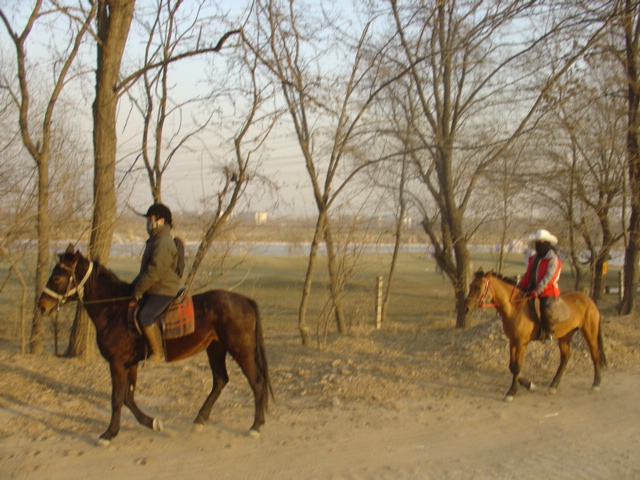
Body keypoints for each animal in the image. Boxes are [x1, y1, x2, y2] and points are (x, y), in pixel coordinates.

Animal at [37, 246, 272, 448]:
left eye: (57, 277)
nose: (42, 306)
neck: (114, 310)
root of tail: (245, 300)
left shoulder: (117, 364)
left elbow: (117, 399)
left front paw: (109, 434)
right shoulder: (129, 364)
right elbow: (128, 398)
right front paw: (152, 423)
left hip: (240, 350)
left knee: (257, 382)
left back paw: (256, 425)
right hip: (215, 348)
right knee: (221, 381)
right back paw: (200, 419)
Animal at [464, 270, 604, 402]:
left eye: (478, 287)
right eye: (470, 285)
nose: (466, 308)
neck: (515, 308)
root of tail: (589, 299)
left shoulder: (521, 343)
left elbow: (517, 366)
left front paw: (511, 392)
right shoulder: (513, 341)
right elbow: (512, 366)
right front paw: (529, 385)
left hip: (589, 331)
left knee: (594, 353)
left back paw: (596, 384)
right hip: (565, 336)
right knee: (565, 358)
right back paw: (553, 386)